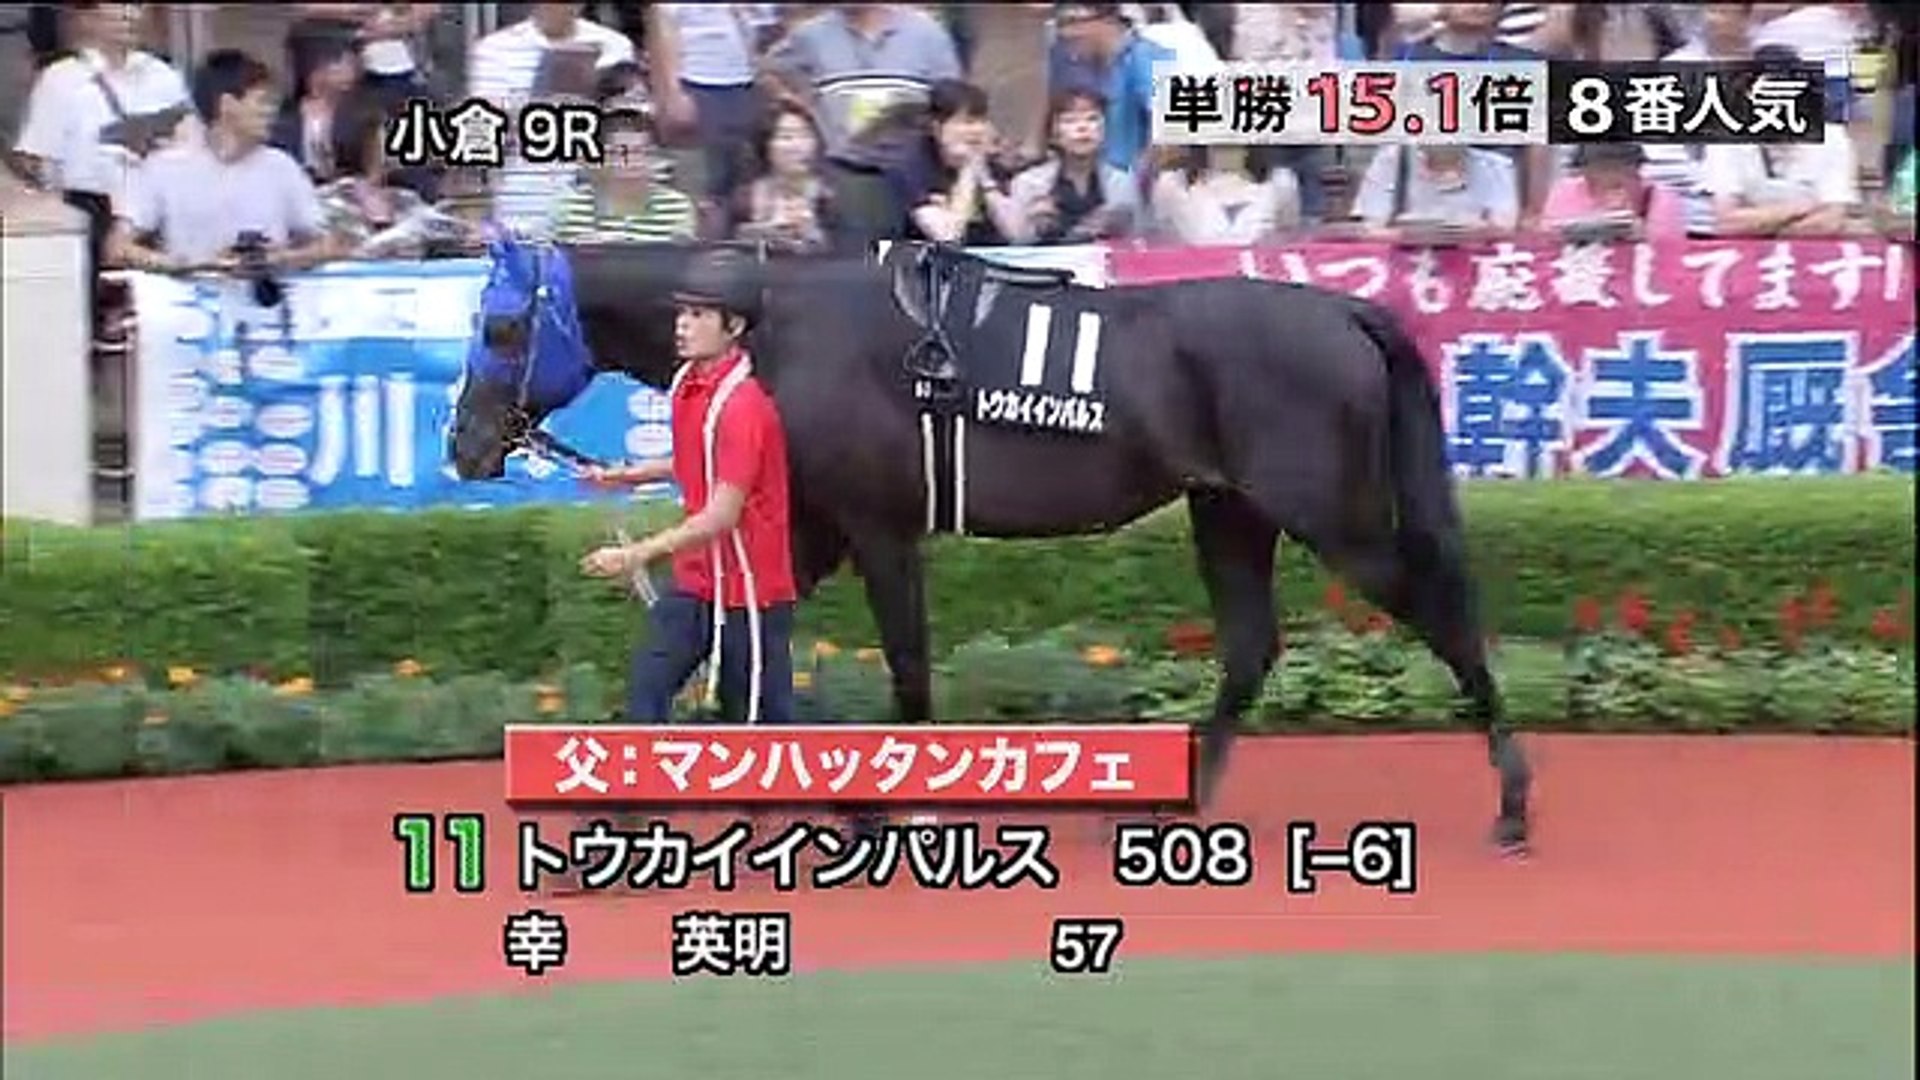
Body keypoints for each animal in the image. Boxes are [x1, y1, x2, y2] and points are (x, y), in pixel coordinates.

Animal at [449, 235, 1534, 853]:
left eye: (500, 327)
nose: (463, 444)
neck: (786, 327)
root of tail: (1343, 308)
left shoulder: (877, 527)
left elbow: (905, 665)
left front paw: (887, 805)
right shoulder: (807, 524)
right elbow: (725, 638)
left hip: (1330, 516)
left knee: (1442, 610)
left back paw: (1514, 801)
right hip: (1229, 509)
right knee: (1250, 646)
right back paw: (1175, 803)